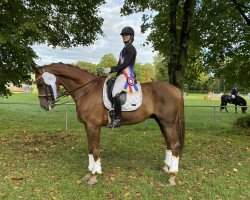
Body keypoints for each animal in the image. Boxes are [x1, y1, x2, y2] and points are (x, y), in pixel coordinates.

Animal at [31, 62, 185, 186]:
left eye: (41, 84)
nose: (44, 106)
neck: (87, 90)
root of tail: (177, 90)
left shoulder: (93, 126)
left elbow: (95, 150)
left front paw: (93, 176)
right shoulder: (88, 126)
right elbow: (90, 149)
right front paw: (90, 173)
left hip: (168, 123)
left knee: (175, 144)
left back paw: (172, 177)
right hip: (161, 122)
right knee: (169, 143)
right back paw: (166, 168)